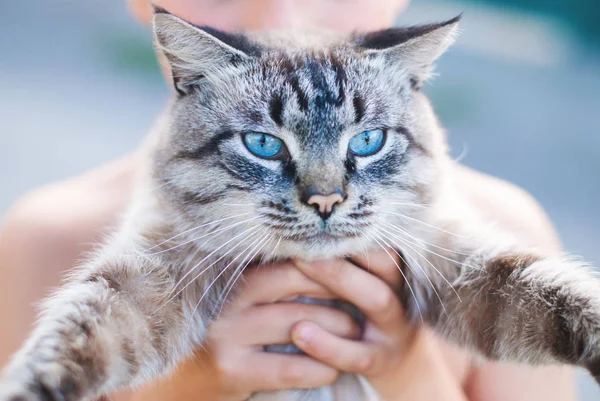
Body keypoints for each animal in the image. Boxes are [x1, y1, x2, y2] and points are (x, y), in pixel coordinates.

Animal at [1, 6, 600, 400]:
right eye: (264, 145)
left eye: (367, 141)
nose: (326, 200)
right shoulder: (159, 269)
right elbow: (83, 330)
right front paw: (33, 386)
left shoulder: (453, 261)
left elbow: (549, 289)